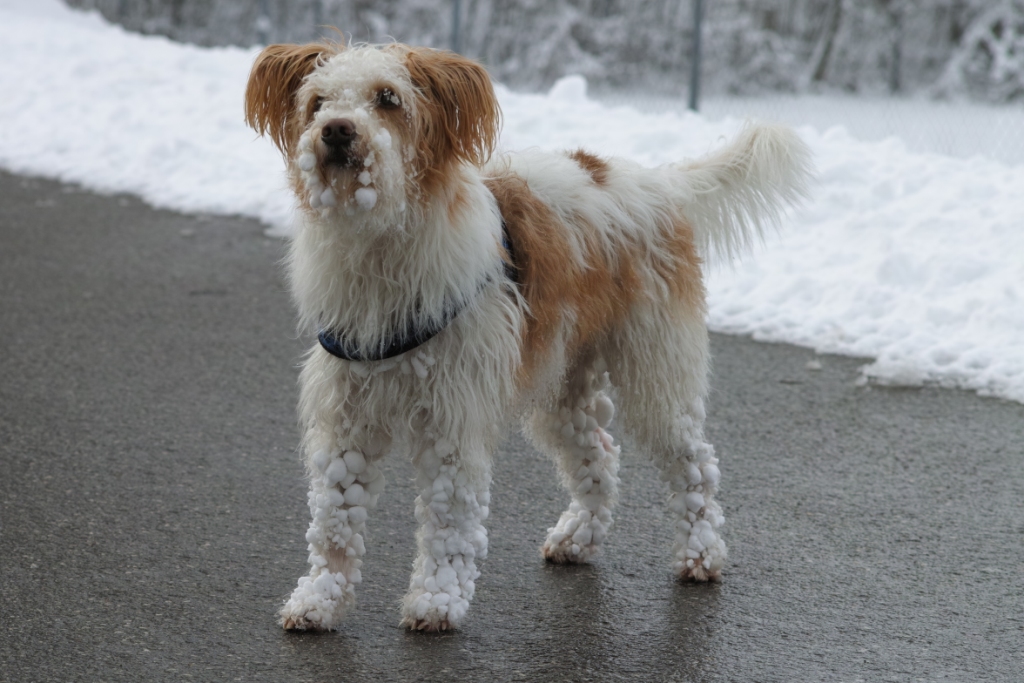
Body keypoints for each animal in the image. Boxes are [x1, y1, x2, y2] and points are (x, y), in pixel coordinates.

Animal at [244, 38, 811, 632]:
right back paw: (578, 538)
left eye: (388, 99)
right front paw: (319, 599)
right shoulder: (346, 417)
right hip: (564, 386)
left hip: (656, 374)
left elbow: (449, 522)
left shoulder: (453, 418)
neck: (383, 251)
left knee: (694, 465)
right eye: (317, 102)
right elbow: (335, 517)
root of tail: (659, 184)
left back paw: (701, 554)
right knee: (599, 456)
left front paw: (437, 599)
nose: (336, 130)